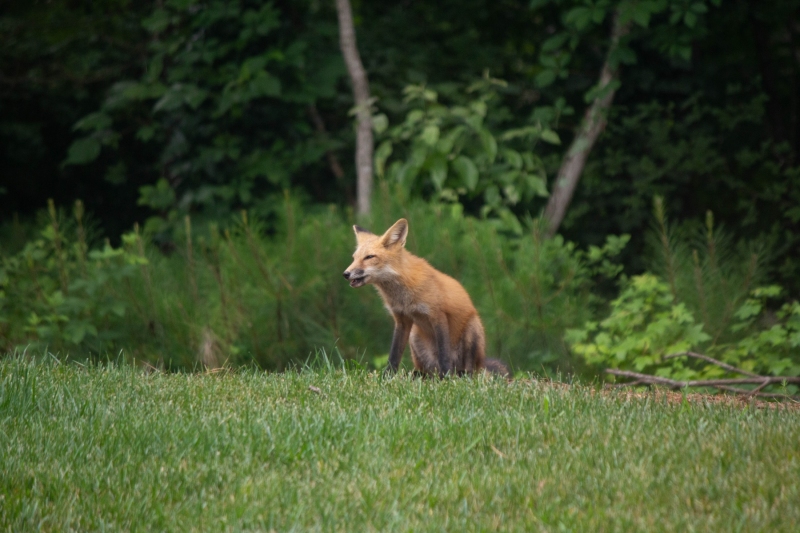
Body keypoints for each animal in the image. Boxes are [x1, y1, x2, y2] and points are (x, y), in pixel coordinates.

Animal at [343, 218, 510, 378]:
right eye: (354, 258)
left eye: (369, 257)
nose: (346, 273)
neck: (403, 294)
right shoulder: (402, 319)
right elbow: (394, 355)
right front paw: (387, 377)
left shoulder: (438, 316)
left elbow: (444, 353)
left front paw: (446, 378)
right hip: (415, 336)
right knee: (426, 370)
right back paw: (423, 375)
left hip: (472, 331)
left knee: (469, 371)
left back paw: (459, 376)